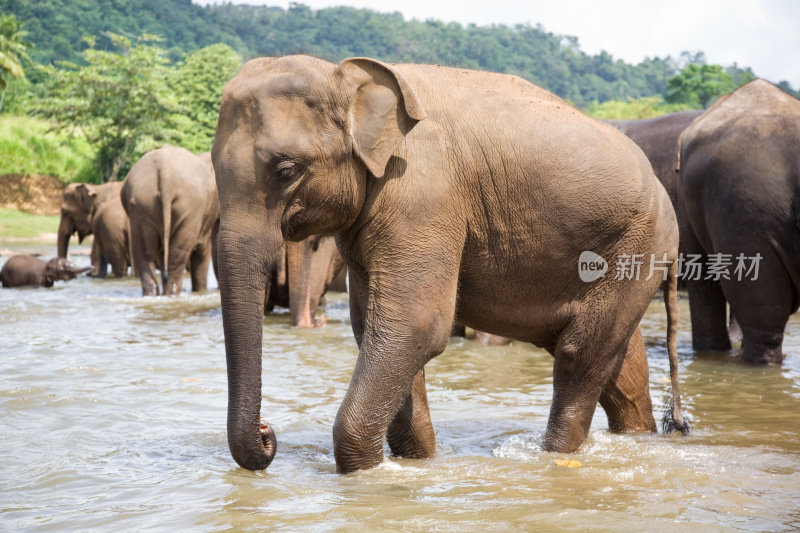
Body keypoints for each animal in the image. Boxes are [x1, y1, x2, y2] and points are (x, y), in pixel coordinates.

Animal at [120, 143, 219, 298]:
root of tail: (164, 170)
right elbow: (202, 250)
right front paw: (200, 291)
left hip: (142, 203)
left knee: (145, 253)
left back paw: (153, 294)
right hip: (190, 205)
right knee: (177, 253)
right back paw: (172, 294)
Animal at [212, 55, 688, 474]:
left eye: (286, 170)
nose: (267, 432)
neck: (343, 76)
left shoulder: (423, 191)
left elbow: (415, 325)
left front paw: (369, 474)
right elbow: (377, 328)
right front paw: (417, 463)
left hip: (641, 244)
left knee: (580, 353)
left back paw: (552, 456)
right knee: (620, 366)